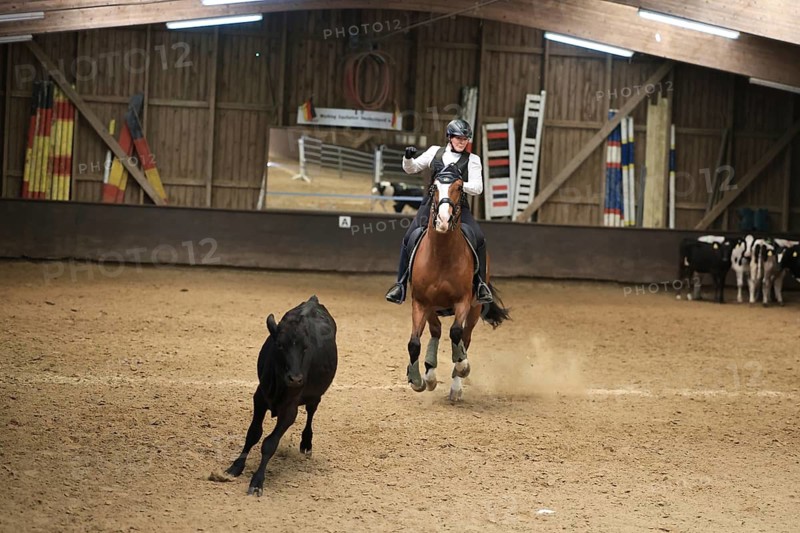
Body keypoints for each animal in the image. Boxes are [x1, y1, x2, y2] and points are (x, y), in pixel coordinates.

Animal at [223, 296, 338, 496]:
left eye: (305, 347)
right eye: (279, 345)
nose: (295, 378)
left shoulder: (289, 410)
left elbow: (270, 443)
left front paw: (257, 481)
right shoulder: (259, 398)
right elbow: (253, 434)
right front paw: (236, 466)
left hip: (315, 396)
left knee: (311, 411)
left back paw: (306, 442)